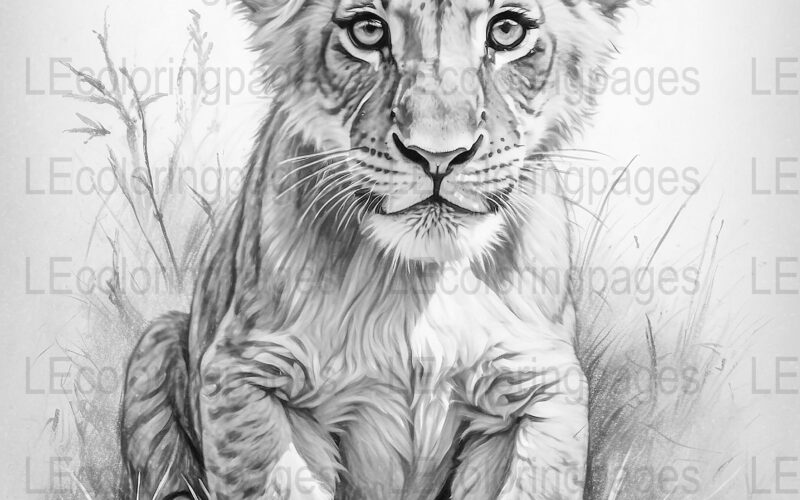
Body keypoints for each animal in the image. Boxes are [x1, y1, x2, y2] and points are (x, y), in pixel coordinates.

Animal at [121, 0, 628, 498]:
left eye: (506, 31)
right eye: (367, 30)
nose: (438, 156)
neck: (418, 280)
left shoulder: (540, 382)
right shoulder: (242, 373)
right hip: (156, 340)